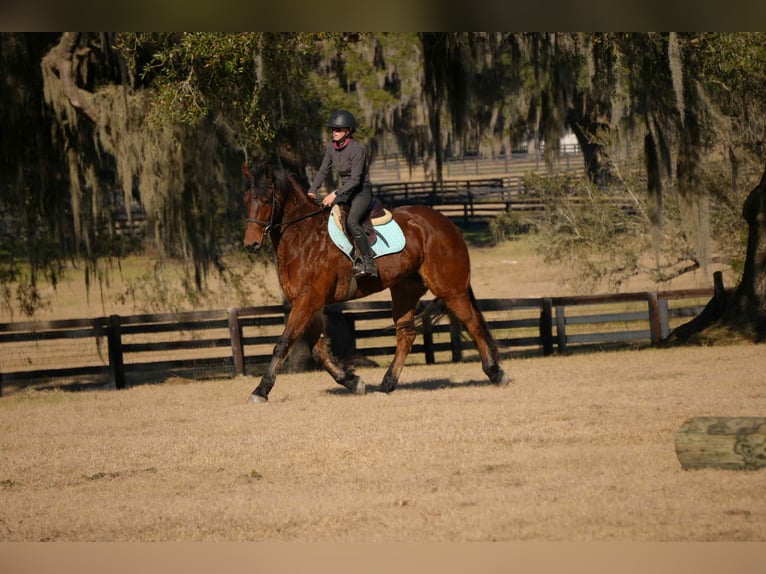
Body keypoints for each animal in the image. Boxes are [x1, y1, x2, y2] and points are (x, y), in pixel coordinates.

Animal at [242, 160, 511, 403]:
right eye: (247, 200)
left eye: (265, 201)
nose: (250, 244)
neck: (303, 237)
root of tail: (447, 224)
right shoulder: (309, 303)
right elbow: (319, 352)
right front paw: (353, 382)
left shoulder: (308, 300)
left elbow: (283, 343)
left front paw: (260, 391)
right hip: (405, 289)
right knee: (406, 334)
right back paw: (387, 384)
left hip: (450, 289)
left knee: (473, 323)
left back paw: (496, 373)